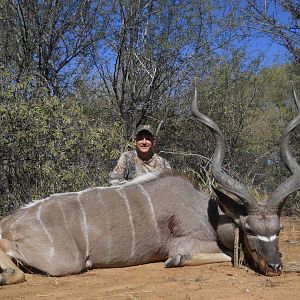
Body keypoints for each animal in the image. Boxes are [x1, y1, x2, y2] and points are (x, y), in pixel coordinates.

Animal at [0, 85, 300, 284]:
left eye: (279, 229)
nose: (275, 266)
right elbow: (224, 255)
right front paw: (177, 261)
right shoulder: (184, 243)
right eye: (248, 230)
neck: (208, 213)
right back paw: (8, 274)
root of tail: (9, 221)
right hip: (66, 261)